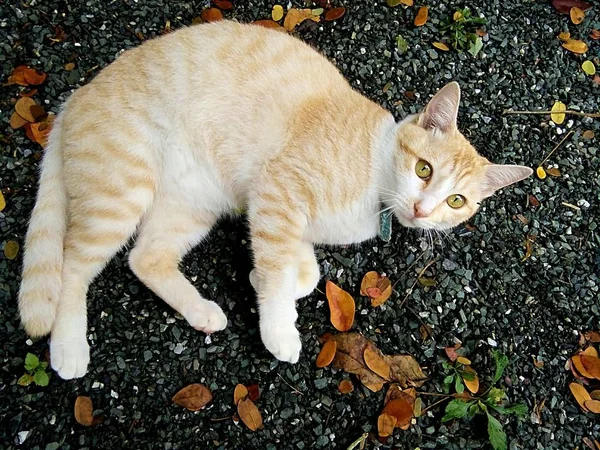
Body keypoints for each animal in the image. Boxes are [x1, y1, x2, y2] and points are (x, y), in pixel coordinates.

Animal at [17, 22, 536, 380]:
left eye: (457, 201)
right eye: (424, 169)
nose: (424, 210)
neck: (375, 184)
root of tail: (72, 99)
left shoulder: (279, 217)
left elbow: (302, 272)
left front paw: (267, 281)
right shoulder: (278, 192)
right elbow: (277, 268)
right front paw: (279, 328)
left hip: (193, 206)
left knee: (145, 259)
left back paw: (201, 312)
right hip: (121, 193)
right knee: (71, 266)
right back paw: (68, 347)